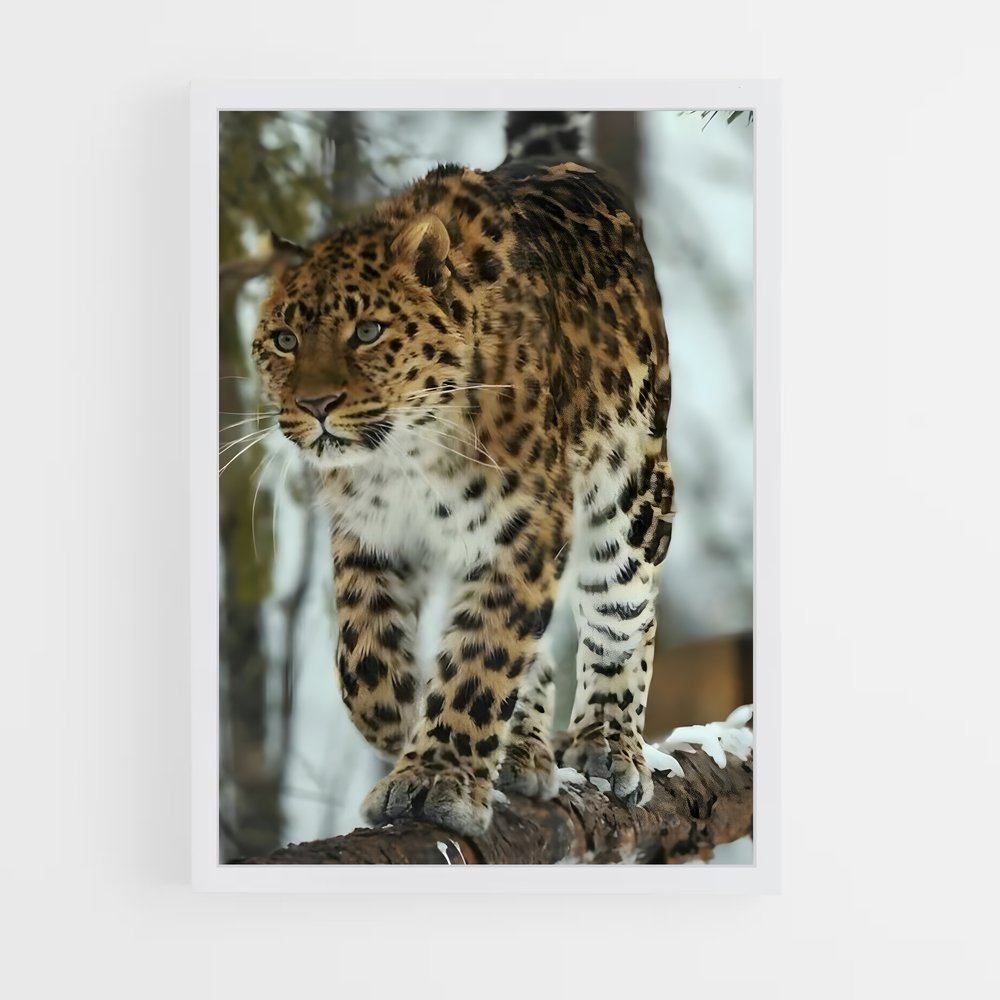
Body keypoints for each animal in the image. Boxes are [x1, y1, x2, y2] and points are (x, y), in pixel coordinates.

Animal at [251, 111, 675, 837]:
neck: (406, 456)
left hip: (632, 500)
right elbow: (363, 654)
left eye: (368, 331)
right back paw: (523, 749)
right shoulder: (368, 531)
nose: (316, 405)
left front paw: (436, 775)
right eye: (284, 340)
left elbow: (485, 654)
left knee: (624, 616)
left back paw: (608, 744)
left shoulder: (527, 527)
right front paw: (400, 721)